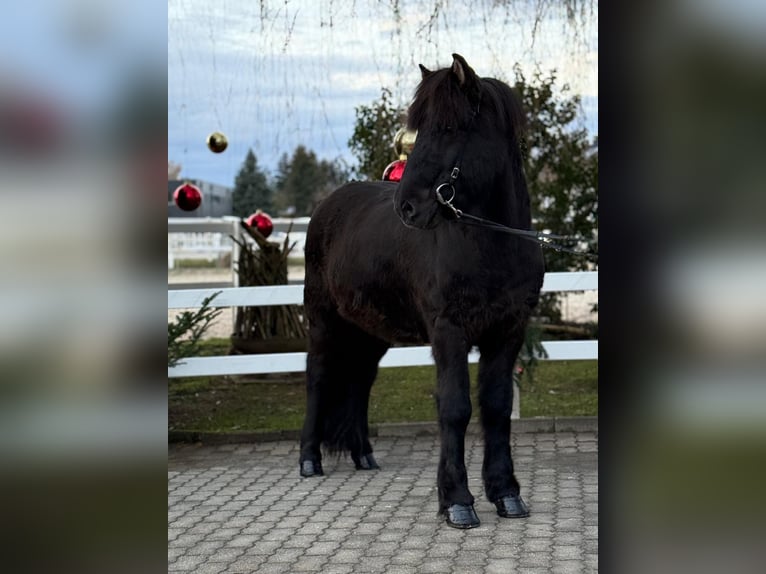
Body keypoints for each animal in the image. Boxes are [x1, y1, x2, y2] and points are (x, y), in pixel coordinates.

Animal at [296, 55, 544, 532]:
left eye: (447, 128)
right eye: (419, 128)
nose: (407, 207)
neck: (493, 245)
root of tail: (327, 207)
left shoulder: (507, 332)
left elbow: (497, 407)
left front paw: (506, 494)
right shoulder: (449, 331)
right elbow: (455, 407)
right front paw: (457, 502)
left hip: (369, 332)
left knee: (360, 380)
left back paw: (364, 455)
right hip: (323, 322)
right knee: (318, 377)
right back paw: (309, 460)